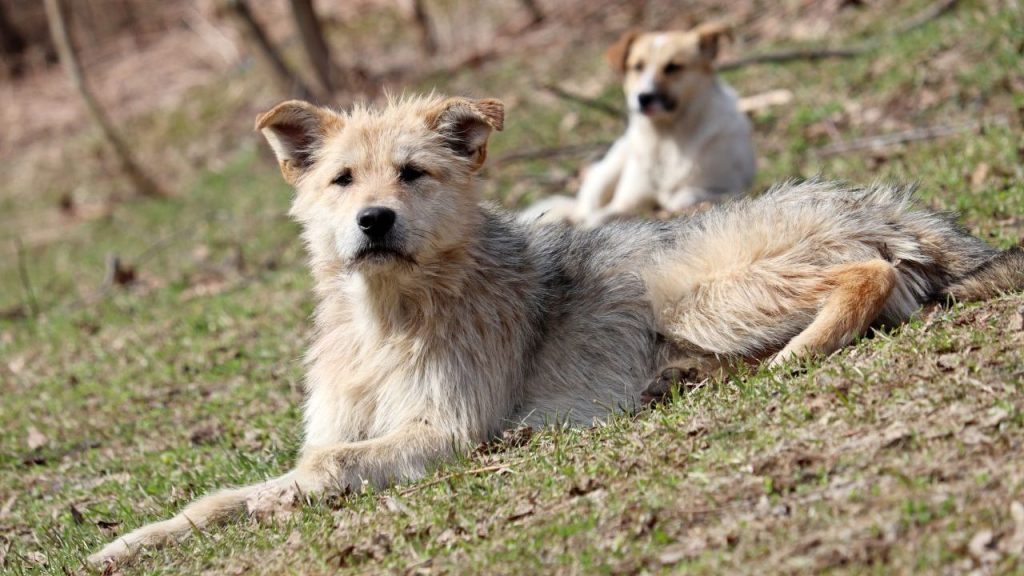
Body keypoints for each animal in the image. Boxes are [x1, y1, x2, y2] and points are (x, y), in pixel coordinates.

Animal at [532, 24, 757, 226]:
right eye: (637, 66)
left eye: (673, 67)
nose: (644, 97)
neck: (668, 138)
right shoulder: (625, 203)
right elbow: (602, 216)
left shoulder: (727, 187)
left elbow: (682, 196)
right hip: (607, 170)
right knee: (586, 208)